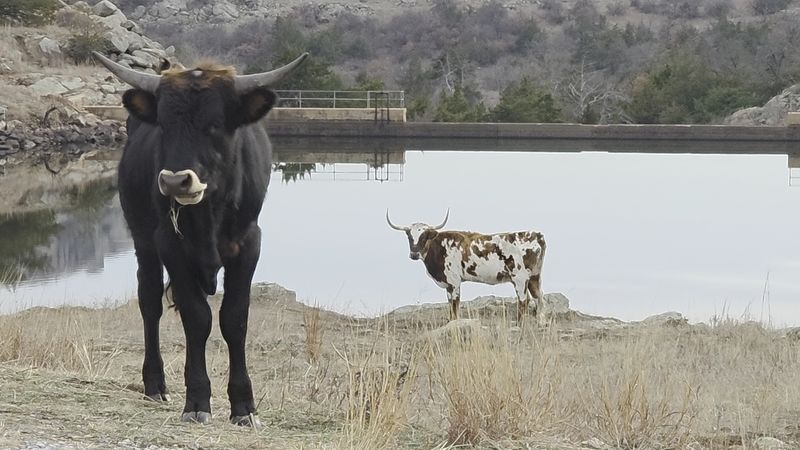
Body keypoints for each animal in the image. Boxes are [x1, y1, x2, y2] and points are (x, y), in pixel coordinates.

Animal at [93, 51, 307, 426]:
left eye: (216, 123)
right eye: (164, 124)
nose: (175, 181)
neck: (210, 211)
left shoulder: (248, 244)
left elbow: (234, 319)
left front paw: (243, 406)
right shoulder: (169, 243)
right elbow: (197, 318)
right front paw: (196, 401)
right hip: (143, 241)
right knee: (150, 302)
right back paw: (155, 384)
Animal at [387, 210, 547, 324]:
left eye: (424, 236)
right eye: (409, 236)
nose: (414, 254)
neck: (439, 247)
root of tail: (535, 235)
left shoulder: (454, 282)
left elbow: (455, 305)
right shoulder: (448, 285)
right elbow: (450, 306)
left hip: (520, 279)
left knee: (524, 301)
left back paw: (519, 325)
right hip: (534, 277)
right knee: (539, 297)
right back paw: (540, 322)